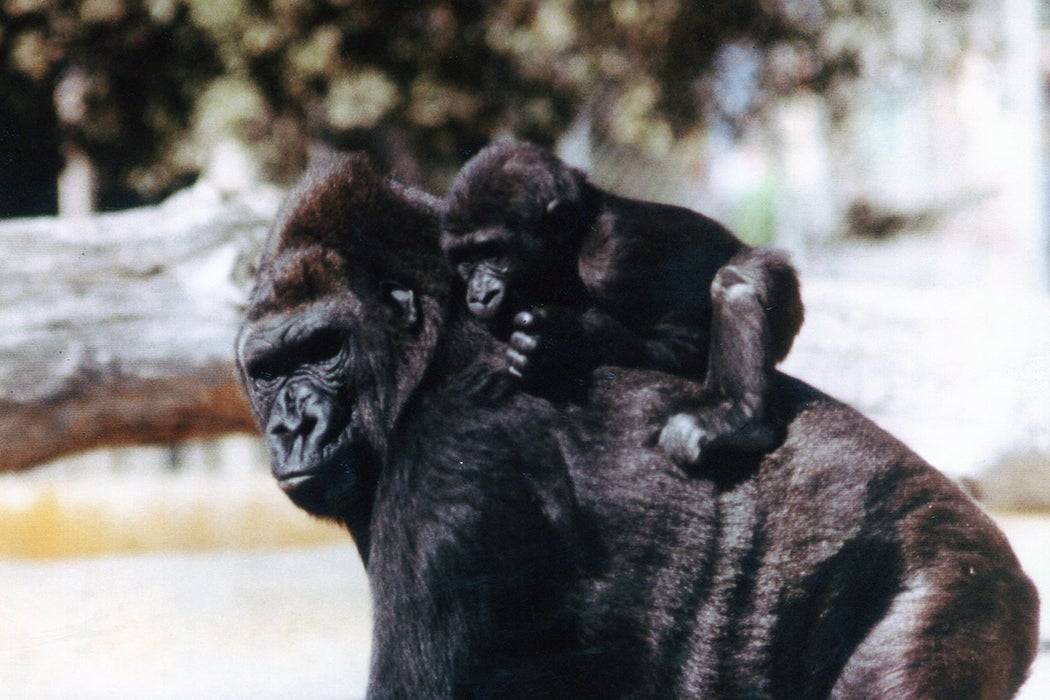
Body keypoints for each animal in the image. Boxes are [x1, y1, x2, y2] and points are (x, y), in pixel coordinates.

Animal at [440, 138, 802, 465]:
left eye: (494, 254)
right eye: (465, 260)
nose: (479, 294)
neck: (574, 241)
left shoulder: (613, 260)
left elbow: (686, 345)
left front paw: (563, 345)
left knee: (736, 279)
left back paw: (744, 418)